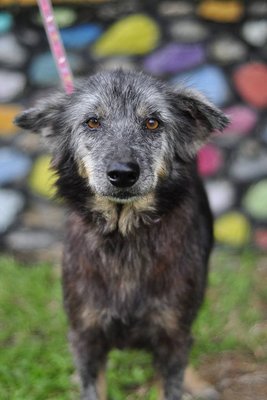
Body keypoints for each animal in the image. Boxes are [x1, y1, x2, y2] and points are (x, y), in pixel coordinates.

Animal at [15, 70, 228, 398]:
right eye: (92, 122)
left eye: (152, 122)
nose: (123, 174)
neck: (124, 235)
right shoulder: (86, 338)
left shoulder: (172, 336)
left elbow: (172, 379)